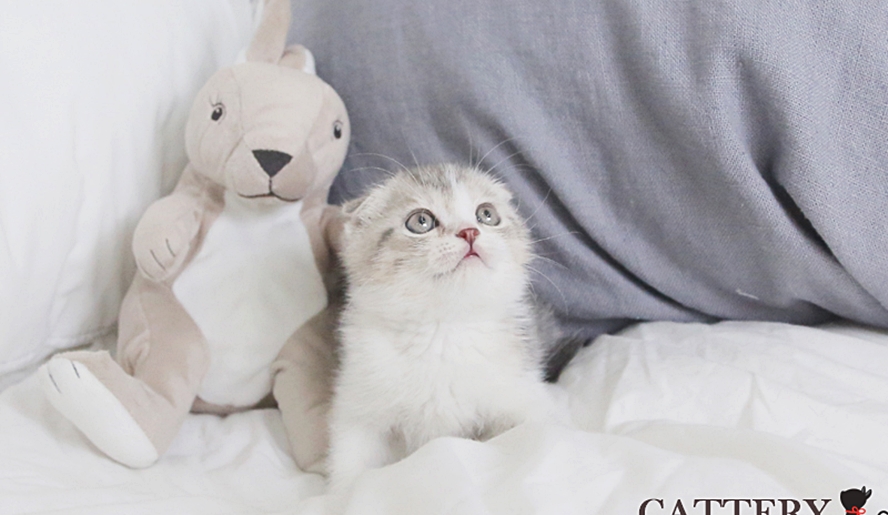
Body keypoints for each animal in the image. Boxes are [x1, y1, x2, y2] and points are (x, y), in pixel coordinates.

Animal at [326, 163, 565, 494]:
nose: (469, 231)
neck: (444, 331)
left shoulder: (524, 393)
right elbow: (351, 464)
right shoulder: (358, 406)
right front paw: (344, 495)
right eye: (420, 221)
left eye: (487, 214)